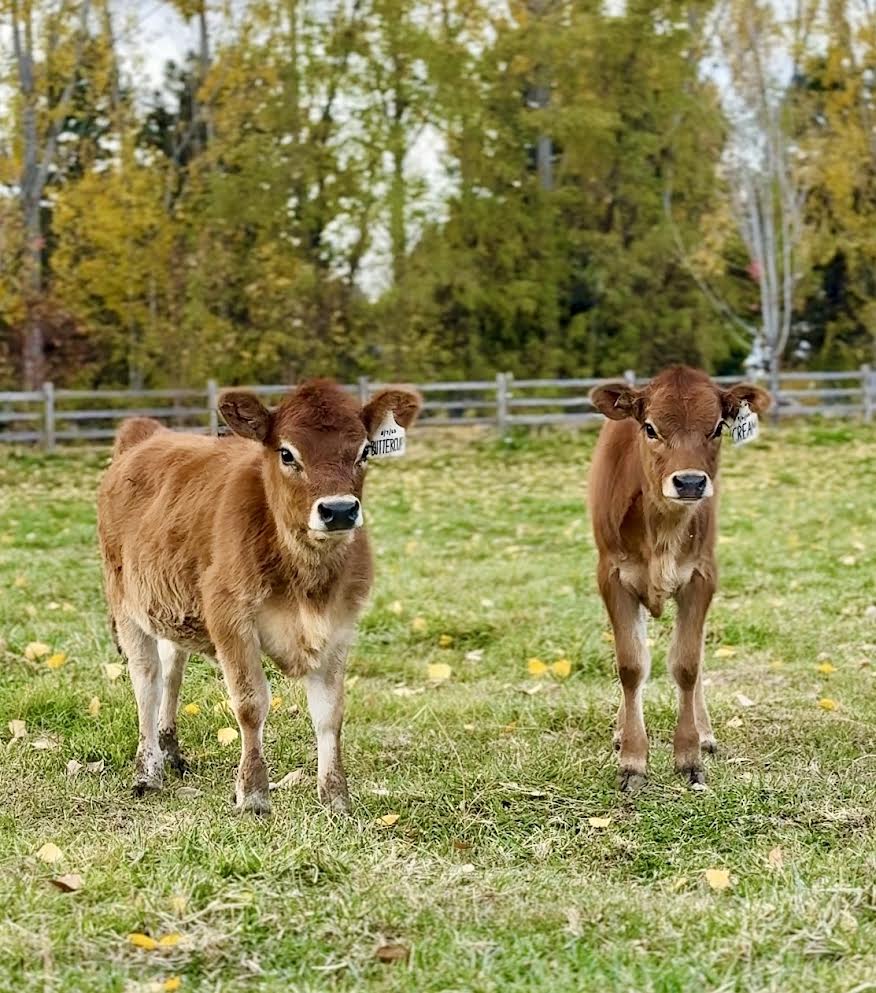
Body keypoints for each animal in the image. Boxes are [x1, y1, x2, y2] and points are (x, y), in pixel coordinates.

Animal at [98, 379, 421, 815]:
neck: (307, 582)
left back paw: (170, 750)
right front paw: (253, 793)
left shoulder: (340, 625)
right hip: (125, 602)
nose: (339, 510)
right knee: (146, 679)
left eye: (365, 450)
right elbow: (251, 704)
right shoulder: (230, 618)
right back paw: (148, 772)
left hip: (170, 602)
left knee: (171, 670)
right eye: (286, 453)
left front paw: (335, 797)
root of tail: (149, 432)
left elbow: (330, 712)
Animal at [588, 366, 770, 790]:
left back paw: (704, 733)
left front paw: (688, 754)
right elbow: (631, 666)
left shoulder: (702, 577)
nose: (689, 482)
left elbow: (687, 664)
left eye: (717, 427)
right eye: (650, 428)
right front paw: (633, 759)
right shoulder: (612, 577)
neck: (662, 531)